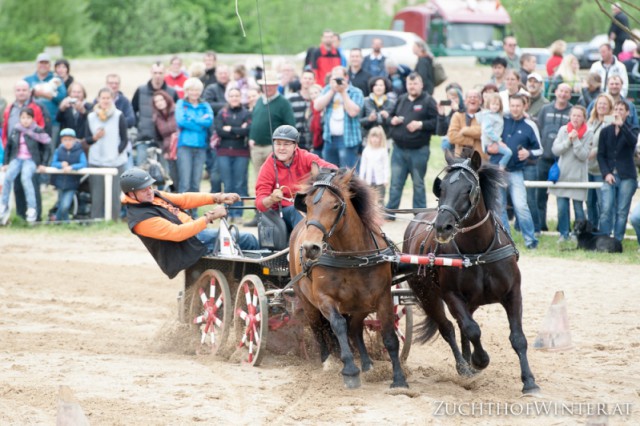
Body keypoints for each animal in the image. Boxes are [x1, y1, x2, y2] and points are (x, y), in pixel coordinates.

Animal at [288, 166, 404, 390]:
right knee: (319, 328)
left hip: (361, 306)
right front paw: (349, 370)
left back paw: (367, 363)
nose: (310, 248)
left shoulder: (382, 297)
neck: (352, 257)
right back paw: (327, 360)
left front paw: (399, 378)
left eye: (335, 206)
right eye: (307, 204)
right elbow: (338, 326)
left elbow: (389, 336)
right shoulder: (324, 299)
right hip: (308, 302)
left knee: (355, 329)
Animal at [404, 151, 540, 394]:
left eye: (469, 189)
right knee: (448, 328)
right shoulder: (451, 295)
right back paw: (464, 366)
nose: (442, 227)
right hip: (427, 295)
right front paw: (480, 360)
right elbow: (472, 329)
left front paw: (529, 381)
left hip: (471, 301)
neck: (478, 250)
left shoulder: (513, 293)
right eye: (442, 187)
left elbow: (518, 338)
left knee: (460, 326)